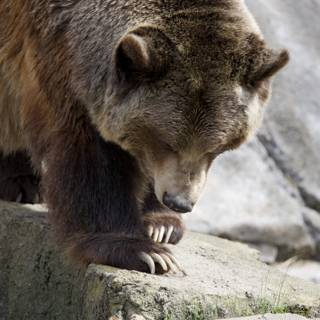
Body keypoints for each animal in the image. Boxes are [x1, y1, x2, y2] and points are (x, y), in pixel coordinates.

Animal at [0, 0, 288, 276]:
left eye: (216, 148)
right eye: (167, 142)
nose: (179, 202)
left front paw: (162, 226)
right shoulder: (56, 57)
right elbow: (89, 156)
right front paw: (143, 251)